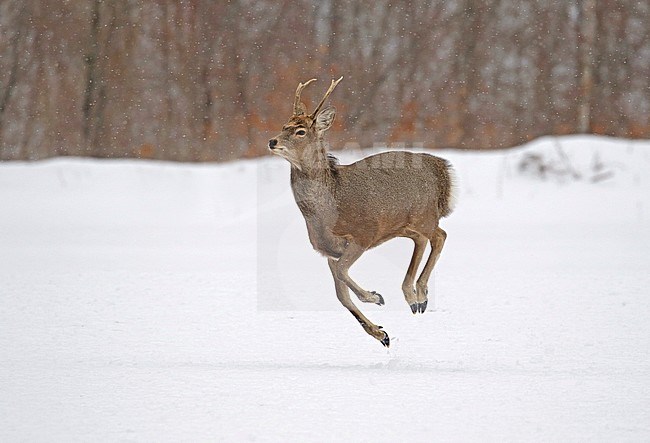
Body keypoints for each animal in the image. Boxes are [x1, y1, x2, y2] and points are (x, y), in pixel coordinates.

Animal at [268, 78, 456, 348]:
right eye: (284, 126)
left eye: (300, 131)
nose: (272, 141)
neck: (324, 212)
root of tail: (441, 168)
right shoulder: (328, 251)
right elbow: (340, 293)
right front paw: (381, 334)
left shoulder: (362, 234)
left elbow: (342, 274)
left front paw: (376, 297)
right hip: (403, 224)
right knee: (423, 239)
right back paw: (414, 297)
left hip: (423, 215)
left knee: (440, 235)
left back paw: (418, 295)